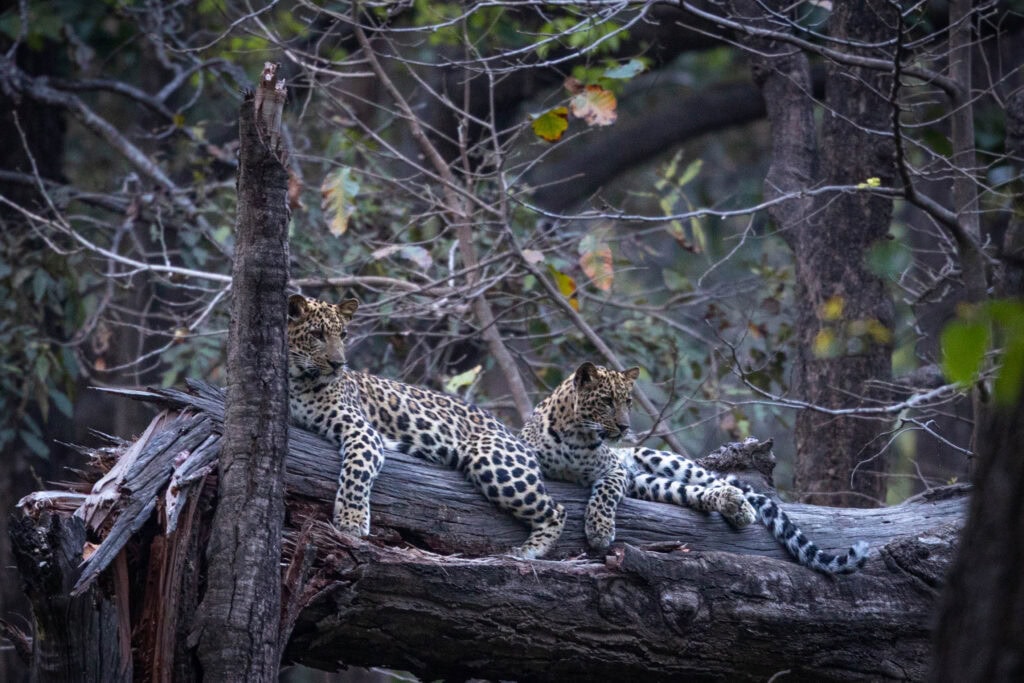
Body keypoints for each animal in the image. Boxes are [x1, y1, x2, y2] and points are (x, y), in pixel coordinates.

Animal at [287, 295, 566, 559]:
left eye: (343, 335)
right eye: (317, 335)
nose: (338, 364)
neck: (297, 380)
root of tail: (512, 433)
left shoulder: (363, 431)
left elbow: (357, 473)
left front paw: (351, 521)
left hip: (494, 461)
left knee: (557, 510)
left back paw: (530, 551)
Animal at [521, 362, 868, 574]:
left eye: (628, 402)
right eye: (606, 401)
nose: (624, 427)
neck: (577, 436)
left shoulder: (615, 470)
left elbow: (604, 494)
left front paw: (600, 529)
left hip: (667, 462)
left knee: (724, 484)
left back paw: (740, 506)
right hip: (647, 482)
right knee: (695, 493)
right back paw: (732, 505)